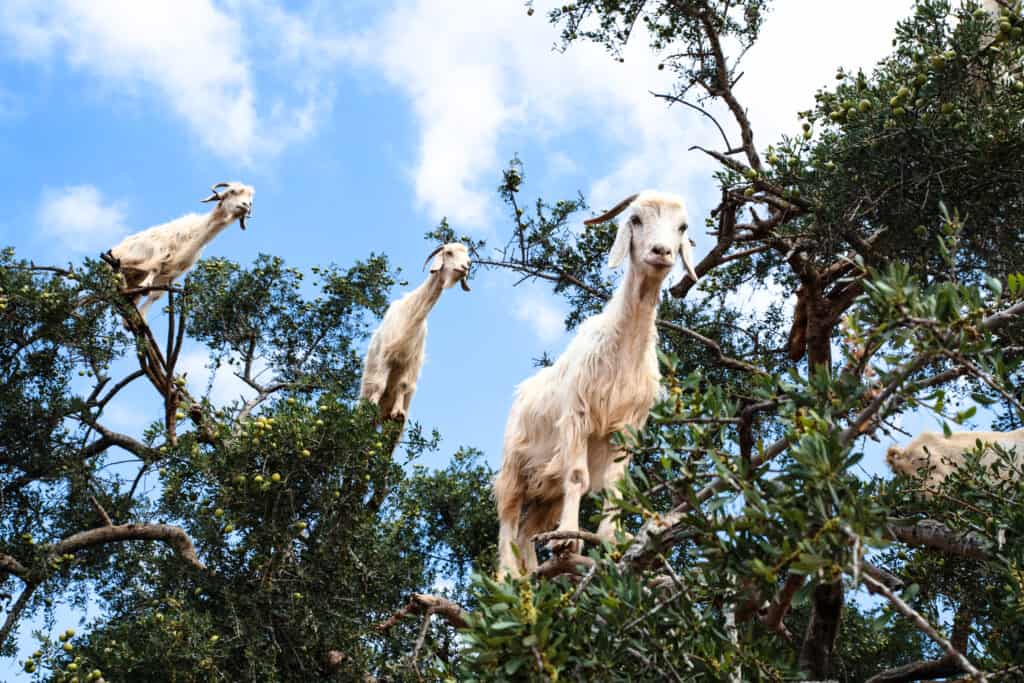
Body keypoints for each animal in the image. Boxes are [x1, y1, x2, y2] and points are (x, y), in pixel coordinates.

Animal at [101, 182, 253, 319]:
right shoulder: (160, 253)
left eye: (250, 201)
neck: (195, 234)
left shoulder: (172, 273)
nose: (245, 206)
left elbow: (155, 295)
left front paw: (139, 317)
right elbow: (154, 269)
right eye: (232, 192)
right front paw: (145, 284)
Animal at [359, 243, 471, 422]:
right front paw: (372, 405)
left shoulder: (409, 360)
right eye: (449, 252)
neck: (411, 313)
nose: (464, 268)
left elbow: (403, 385)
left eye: (469, 260)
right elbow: (379, 384)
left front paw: (398, 412)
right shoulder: (385, 354)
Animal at [494, 191, 698, 577]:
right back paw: (508, 577)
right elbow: (578, 476)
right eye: (635, 219)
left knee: (528, 531)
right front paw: (568, 540)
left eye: (682, 227)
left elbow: (615, 485)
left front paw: (609, 539)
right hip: (514, 467)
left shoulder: (628, 426)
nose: (662, 252)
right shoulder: (577, 416)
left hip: (547, 489)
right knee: (508, 521)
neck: (623, 349)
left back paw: (535, 576)